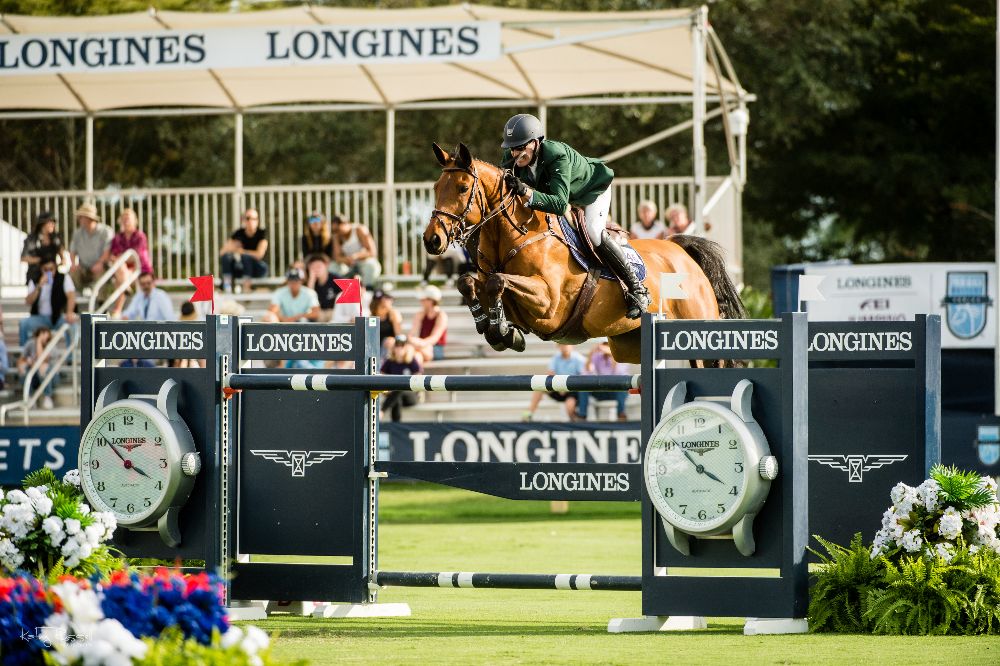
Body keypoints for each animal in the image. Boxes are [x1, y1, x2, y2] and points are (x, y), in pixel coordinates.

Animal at [420, 141, 744, 364]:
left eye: (463, 188)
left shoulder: (549, 303)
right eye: (435, 187)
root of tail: (681, 250)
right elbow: (470, 282)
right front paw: (494, 328)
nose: (432, 240)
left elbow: (497, 280)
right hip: (629, 345)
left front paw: (500, 328)